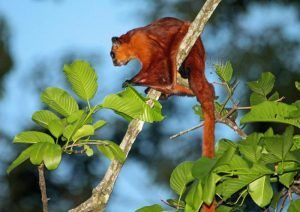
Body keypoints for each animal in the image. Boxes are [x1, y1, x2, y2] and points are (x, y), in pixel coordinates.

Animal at [110, 16, 216, 158]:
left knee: (171, 70)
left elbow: (157, 59)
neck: (131, 40)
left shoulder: (141, 41)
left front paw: (132, 81)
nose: (114, 63)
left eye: (112, 55)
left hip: (188, 38)